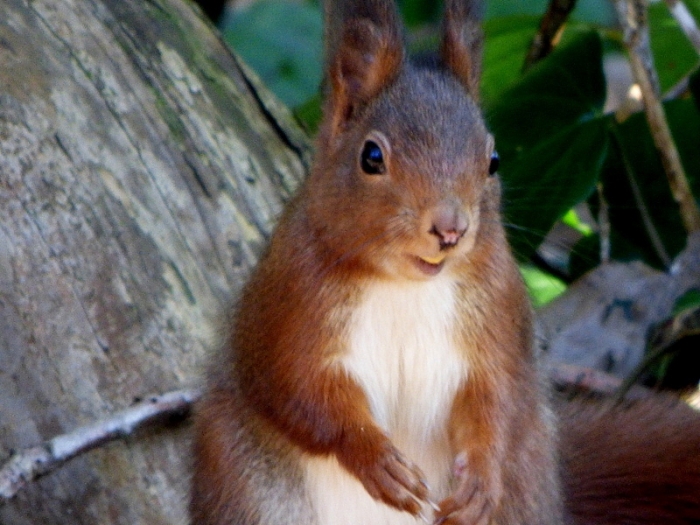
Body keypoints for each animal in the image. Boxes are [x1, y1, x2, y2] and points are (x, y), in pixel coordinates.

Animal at [189, 0, 700, 524]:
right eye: (370, 156)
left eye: (494, 159)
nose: (450, 229)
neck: (405, 285)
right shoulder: (287, 307)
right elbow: (299, 390)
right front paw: (376, 458)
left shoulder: (499, 315)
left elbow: (496, 398)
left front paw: (480, 477)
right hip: (253, 493)